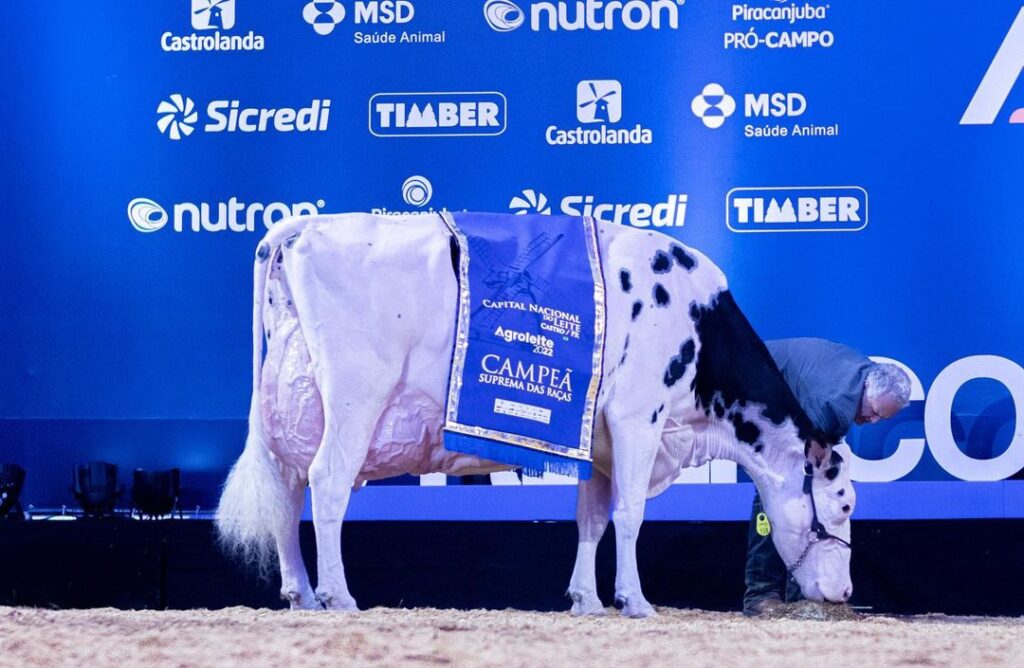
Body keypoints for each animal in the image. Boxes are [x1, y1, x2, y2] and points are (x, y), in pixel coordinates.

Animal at [216, 212, 855, 617]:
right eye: (845, 504)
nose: (847, 592)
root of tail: (308, 224)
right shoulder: (637, 417)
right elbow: (629, 515)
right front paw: (636, 602)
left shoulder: (599, 443)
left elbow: (591, 520)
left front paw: (587, 601)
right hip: (355, 396)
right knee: (326, 484)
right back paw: (338, 596)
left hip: (296, 409)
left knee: (287, 493)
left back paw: (300, 593)